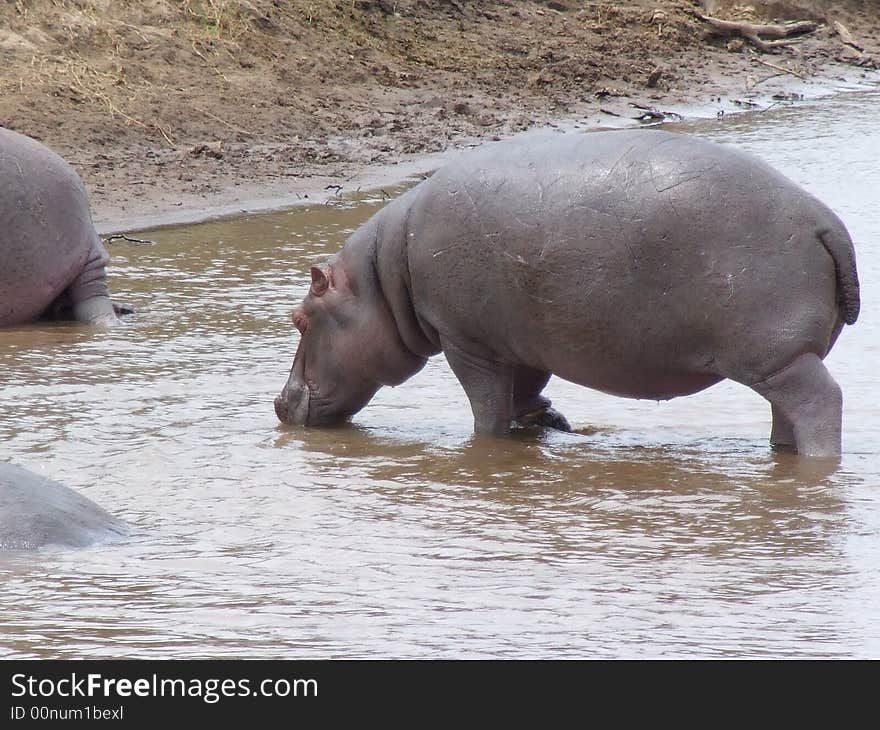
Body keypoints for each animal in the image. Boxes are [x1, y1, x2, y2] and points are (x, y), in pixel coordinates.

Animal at [276, 128, 860, 452]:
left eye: (299, 319)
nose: (279, 403)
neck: (382, 280)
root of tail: (825, 221)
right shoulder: (520, 341)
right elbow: (525, 391)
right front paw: (548, 422)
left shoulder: (468, 342)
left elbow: (487, 408)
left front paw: (487, 446)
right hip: (785, 356)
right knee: (786, 412)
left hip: (775, 356)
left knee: (819, 400)